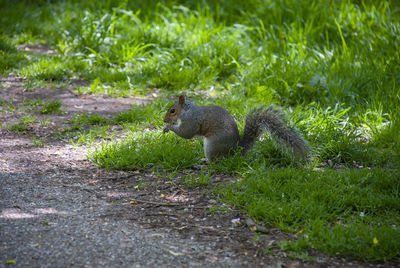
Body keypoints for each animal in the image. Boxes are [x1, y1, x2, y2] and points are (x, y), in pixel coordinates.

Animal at [162, 94, 310, 161]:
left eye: (172, 111)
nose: (164, 119)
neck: (187, 111)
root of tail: (235, 152)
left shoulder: (192, 121)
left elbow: (186, 133)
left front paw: (169, 126)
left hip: (212, 145)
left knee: (216, 160)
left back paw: (205, 161)